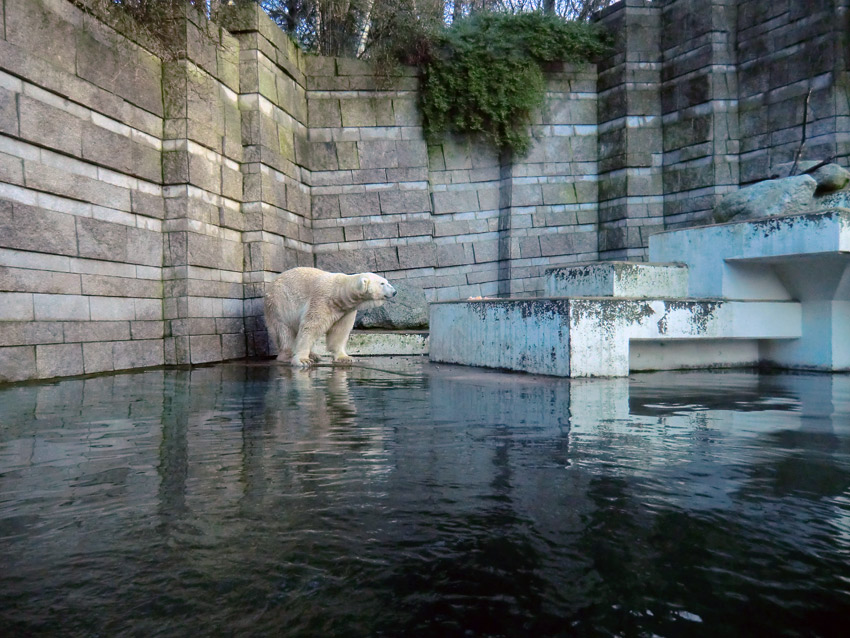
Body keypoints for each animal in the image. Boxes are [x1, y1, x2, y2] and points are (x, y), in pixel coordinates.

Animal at [262, 268, 398, 370]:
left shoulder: (346, 311)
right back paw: (289, 355)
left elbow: (339, 332)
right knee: (284, 331)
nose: (395, 292)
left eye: (387, 281)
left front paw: (345, 358)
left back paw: (314, 355)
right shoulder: (321, 301)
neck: (338, 294)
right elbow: (311, 327)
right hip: (279, 304)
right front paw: (303, 360)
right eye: (382, 283)